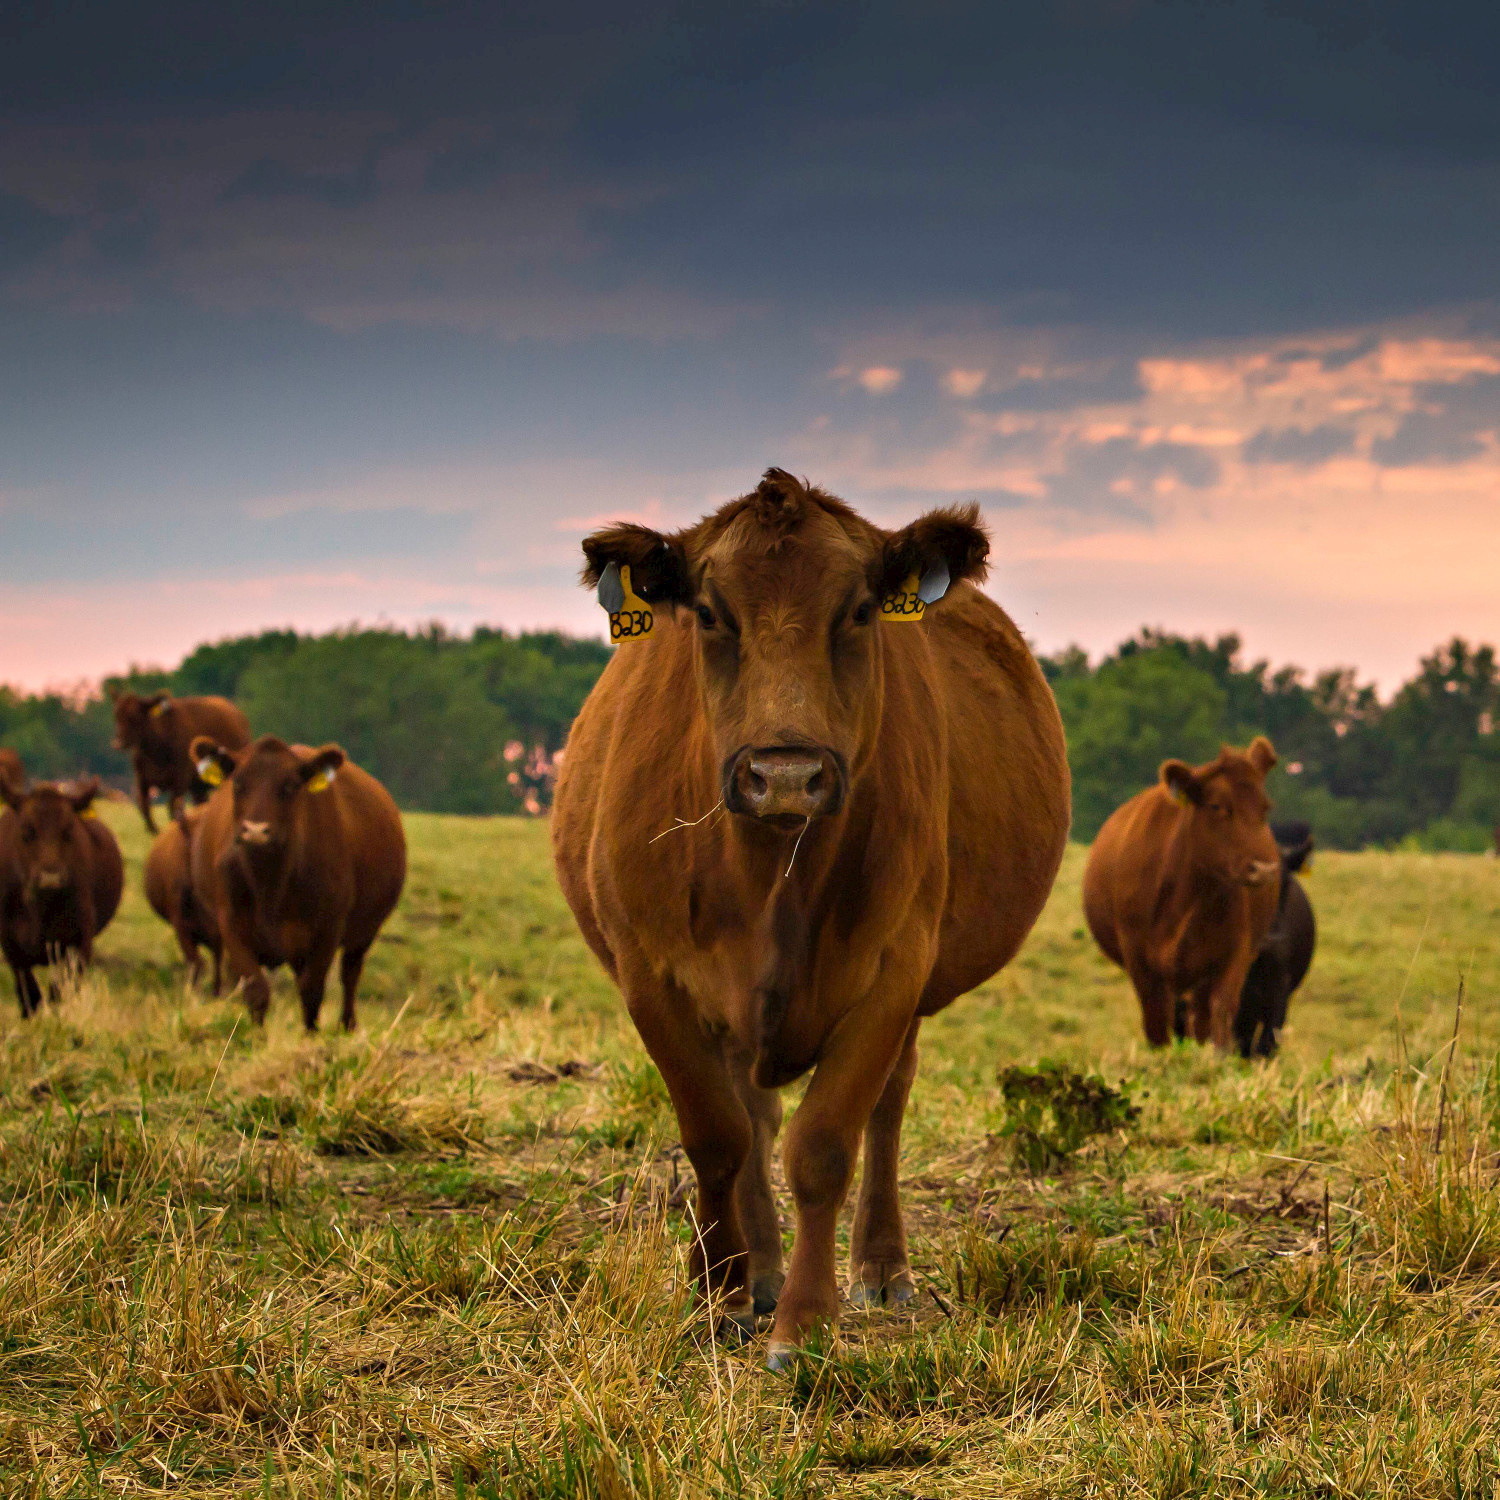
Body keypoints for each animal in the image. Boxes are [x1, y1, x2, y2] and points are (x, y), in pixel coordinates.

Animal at [0, 774, 124, 1020]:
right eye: (27, 830)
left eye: (68, 830)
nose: (50, 877)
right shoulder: (10, 943)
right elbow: (29, 992)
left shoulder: (78, 943)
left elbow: (60, 990)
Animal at [185, 735, 408, 1032]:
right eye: (238, 782)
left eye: (290, 786)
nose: (256, 830)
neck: (270, 884)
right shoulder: (231, 925)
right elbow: (256, 991)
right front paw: (256, 1039)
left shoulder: (328, 928)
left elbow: (311, 991)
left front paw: (310, 1037)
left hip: (364, 931)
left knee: (350, 974)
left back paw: (347, 1025)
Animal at [549, 468, 1068, 1374]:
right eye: (709, 611)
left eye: (858, 610)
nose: (785, 775)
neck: (767, 875)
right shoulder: (655, 979)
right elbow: (719, 1138)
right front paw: (722, 1295)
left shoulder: (893, 970)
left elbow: (825, 1145)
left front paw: (805, 1322)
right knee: (754, 1120)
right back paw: (749, 1269)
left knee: (885, 1107)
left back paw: (880, 1269)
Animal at [1086, 741, 1284, 1050]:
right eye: (1216, 806)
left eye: (1265, 807)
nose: (1263, 869)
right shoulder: (1139, 959)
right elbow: (1156, 1022)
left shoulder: (1235, 953)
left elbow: (1221, 1011)